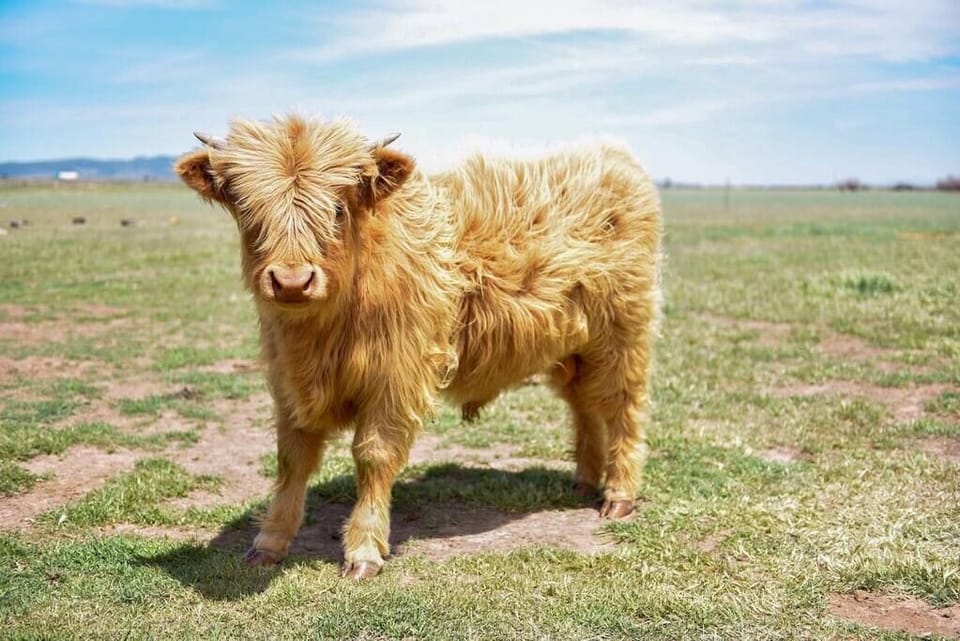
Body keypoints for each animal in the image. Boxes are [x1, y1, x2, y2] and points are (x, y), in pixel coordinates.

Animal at [175, 116, 662, 579]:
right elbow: (292, 459)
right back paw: (584, 480)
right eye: (248, 208)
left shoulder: (396, 378)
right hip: (573, 350)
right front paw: (270, 543)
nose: (292, 282)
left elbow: (373, 456)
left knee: (623, 408)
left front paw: (364, 550)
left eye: (338, 207)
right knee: (584, 405)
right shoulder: (288, 381)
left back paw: (618, 494)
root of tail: (609, 154)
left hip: (623, 336)